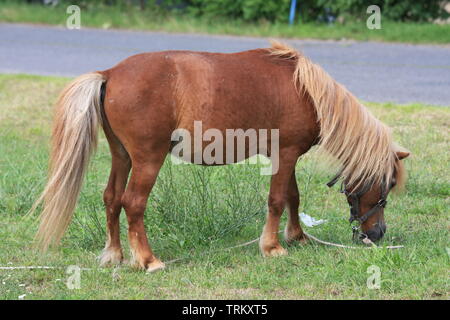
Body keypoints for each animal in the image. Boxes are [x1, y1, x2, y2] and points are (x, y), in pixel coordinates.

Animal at [33, 41, 410, 272]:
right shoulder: (286, 154)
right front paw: (272, 247)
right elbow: (277, 200)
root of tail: (110, 73)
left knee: (112, 198)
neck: (307, 91)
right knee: (133, 203)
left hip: (122, 156)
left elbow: (292, 196)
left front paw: (297, 236)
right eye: (388, 183)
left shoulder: (283, 158)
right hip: (147, 160)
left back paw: (114, 254)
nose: (377, 234)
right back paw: (148, 259)